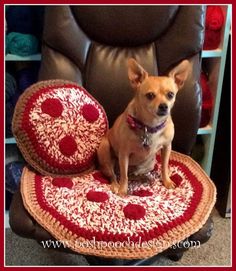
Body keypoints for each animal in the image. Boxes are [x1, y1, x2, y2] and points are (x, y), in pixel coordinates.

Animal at [97, 58, 190, 197]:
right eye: (150, 95)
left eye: (170, 95)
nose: (164, 106)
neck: (150, 126)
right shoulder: (124, 154)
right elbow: (124, 176)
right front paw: (123, 190)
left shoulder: (167, 147)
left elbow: (164, 166)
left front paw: (166, 181)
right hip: (106, 153)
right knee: (115, 175)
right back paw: (116, 185)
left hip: (150, 163)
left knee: (133, 174)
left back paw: (143, 177)